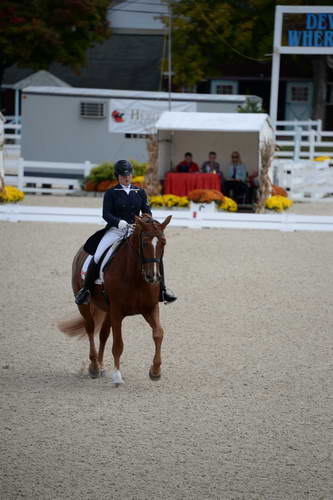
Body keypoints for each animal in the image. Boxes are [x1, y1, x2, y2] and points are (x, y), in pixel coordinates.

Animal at [58, 214, 171, 382]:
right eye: (144, 243)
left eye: (163, 243)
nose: (154, 277)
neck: (136, 277)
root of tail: (80, 252)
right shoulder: (117, 311)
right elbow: (118, 344)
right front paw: (117, 376)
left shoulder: (150, 308)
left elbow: (158, 334)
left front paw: (155, 371)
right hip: (84, 305)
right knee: (90, 329)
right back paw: (94, 367)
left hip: (107, 310)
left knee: (103, 334)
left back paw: (101, 366)